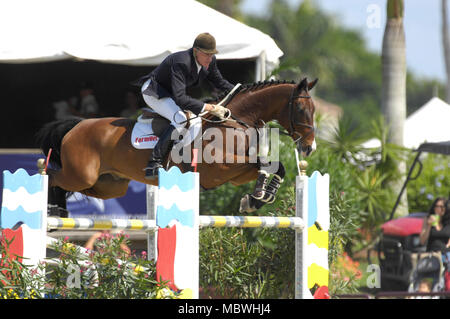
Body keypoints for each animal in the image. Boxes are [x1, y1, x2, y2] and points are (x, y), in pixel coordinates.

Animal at [37, 77, 318, 214]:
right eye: (301, 109)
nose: (309, 148)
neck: (235, 122)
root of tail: (76, 126)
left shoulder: (236, 175)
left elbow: (275, 167)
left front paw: (258, 198)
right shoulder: (219, 171)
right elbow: (263, 164)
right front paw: (258, 195)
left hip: (108, 184)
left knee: (71, 187)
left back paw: (59, 210)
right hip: (80, 174)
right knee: (52, 176)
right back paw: (51, 208)